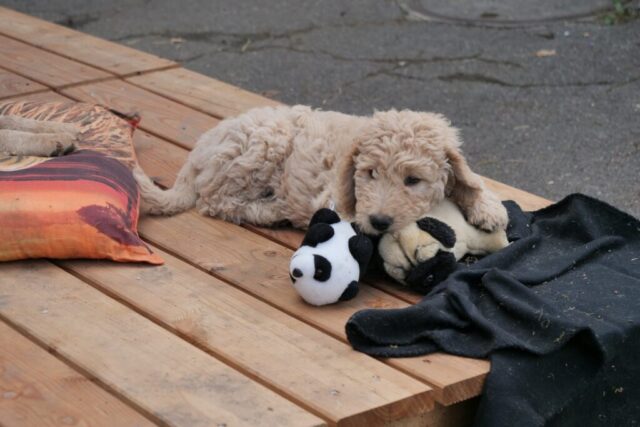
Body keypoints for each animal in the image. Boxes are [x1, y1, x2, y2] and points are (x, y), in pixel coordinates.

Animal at [135, 105, 508, 235]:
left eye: (413, 180)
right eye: (370, 173)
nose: (379, 221)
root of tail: (201, 147)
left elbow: (471, 180)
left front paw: (489, 209)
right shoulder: (332, 197)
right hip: (263, 144)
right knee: (216, 202)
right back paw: (273, 212)